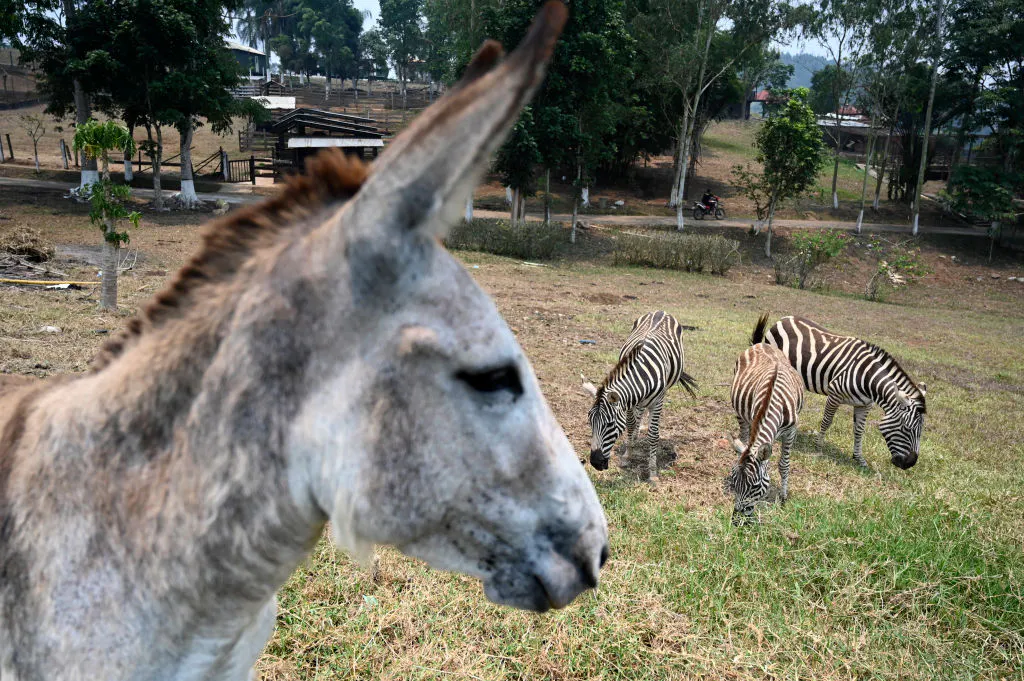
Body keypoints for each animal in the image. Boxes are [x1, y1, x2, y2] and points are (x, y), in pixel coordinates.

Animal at [581, 311, 697, 485]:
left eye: (610, 424)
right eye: (590, 422)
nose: (595, 463)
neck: (642, 373)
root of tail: (660, 311)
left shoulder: (657, 401)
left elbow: (653, 434)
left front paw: (653, 473)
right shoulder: (628, 402)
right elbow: (629, 425)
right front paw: (628, 455)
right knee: (638, 415)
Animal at [726, 327, 805, 523]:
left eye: (755, 486)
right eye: (734, 482)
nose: (736, 521)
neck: (773, 397)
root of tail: (760, 344)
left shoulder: (791, 431)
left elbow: (784, 464)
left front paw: (783, 498)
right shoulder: (754, 419)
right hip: (740, 412)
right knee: (743, 437)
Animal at [754, 314, 927, 469]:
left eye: (921, 432)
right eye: (906, 428)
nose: (910, 464)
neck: (867, 378)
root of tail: (784, 319)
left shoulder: (864, 405)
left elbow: (859, 431)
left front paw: (859, 458)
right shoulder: (834, 394)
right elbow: (827, 421)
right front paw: (818, 447)